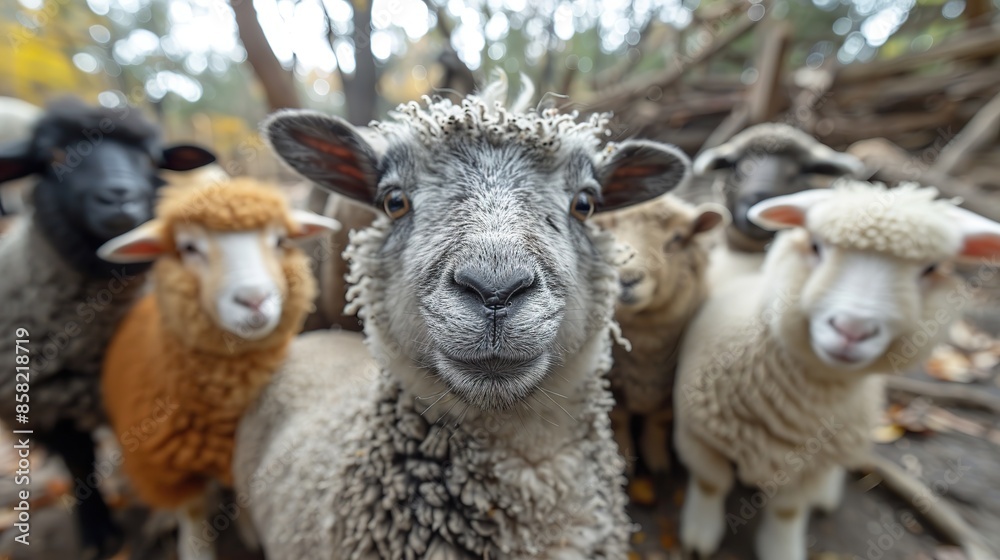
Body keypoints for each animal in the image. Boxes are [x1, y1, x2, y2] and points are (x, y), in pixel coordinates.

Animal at [0, 97, 216, 559]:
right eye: (54, 156)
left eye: (150, 158)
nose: (120, 198)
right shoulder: (48, 396)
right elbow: (79, 463)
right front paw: (99, 534)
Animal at [97, 178, 339, 560]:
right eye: (188, 247)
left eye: (280, 241)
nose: (254, 299)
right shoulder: (166, 471)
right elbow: (194, 512)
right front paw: (195, 549)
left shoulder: (242, 451)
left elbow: (241, 490)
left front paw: (250, 529)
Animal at [591, 195, 726, 474]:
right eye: (605, 232)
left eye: (677, 238)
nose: (628, 279)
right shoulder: (612, 384)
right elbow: (618, 421)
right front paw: (624, 462)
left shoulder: (672, 389)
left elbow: (659, 421)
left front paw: (657, 459)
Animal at [672, 180, 1000, 560]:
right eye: (816, 246)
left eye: (930, 269)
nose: (852, 329)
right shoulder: (698, 436)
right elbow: (710, 484)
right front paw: (700, 533)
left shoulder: (810, 467)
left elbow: (788, 511)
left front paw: (781, 549)